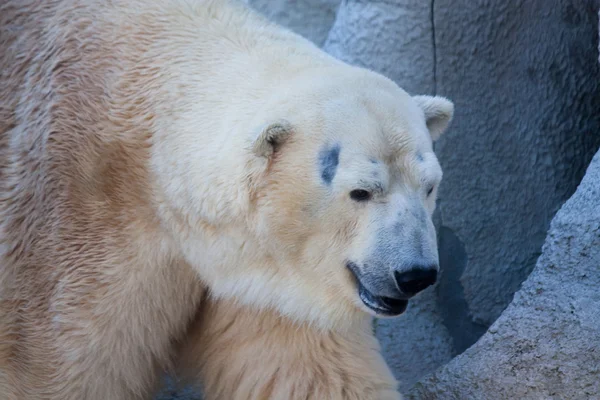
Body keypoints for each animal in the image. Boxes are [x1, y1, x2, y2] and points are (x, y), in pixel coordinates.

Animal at [0, 0, 450, 400]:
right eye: (361, 191)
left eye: (428, 186)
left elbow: (308, 372)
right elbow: (58, 367)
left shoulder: (271, 281)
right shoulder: (78, 220)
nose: (415, 274)